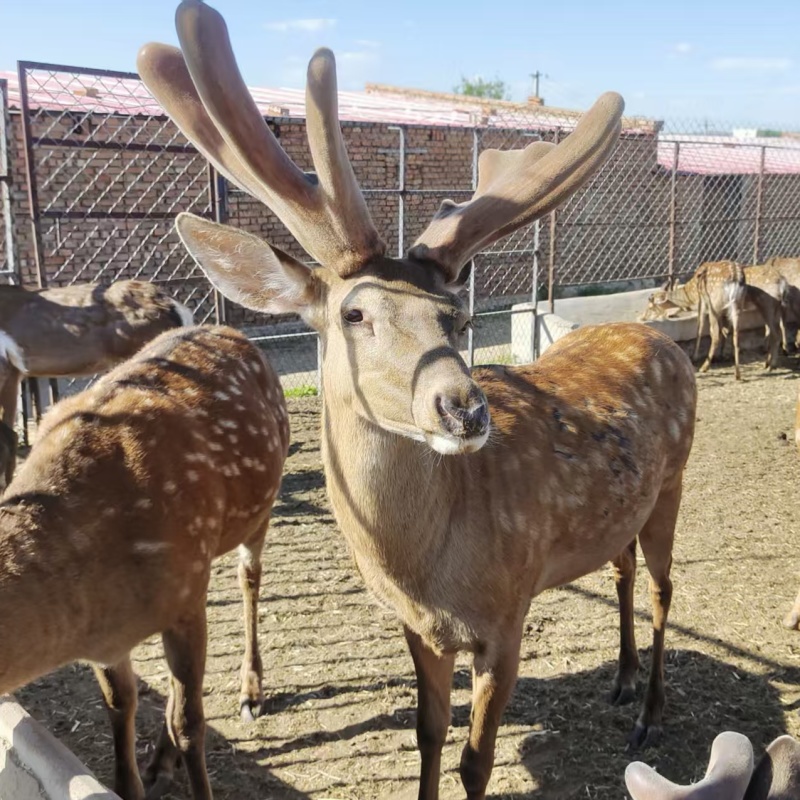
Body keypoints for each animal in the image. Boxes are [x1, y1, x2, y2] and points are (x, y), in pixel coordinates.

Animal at [0, 323, 290, 800]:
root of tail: (228, 329)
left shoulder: (183, 601)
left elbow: (191, 723)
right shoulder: (112, 642)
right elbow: (122, 705)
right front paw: (136, 777)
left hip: (257, 513)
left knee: (249, 579)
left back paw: (251, 690)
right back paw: (159, 760)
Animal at [138, 3, 697, 797]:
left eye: (457, 317)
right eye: (353, 314)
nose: (463, 409)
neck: (426, 571)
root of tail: (659, 335)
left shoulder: (508, 612)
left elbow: (475, 759)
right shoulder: (418, 628)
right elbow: (427, 735)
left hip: (676, 478)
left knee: (663, 589)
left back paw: (648, 713)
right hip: (631, 502)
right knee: (620, 568)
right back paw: (619, 681)